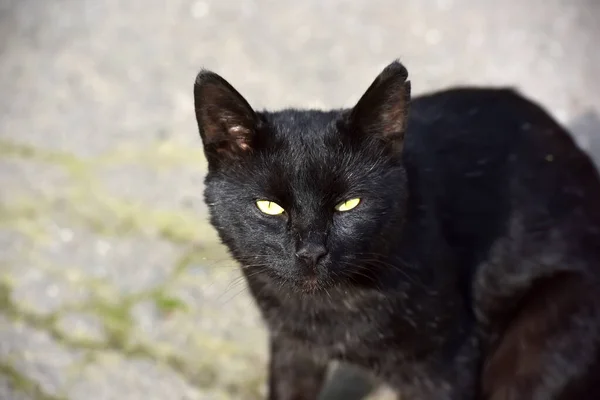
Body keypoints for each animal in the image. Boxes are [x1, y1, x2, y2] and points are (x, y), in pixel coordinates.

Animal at [192, 60, 600, 400]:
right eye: (270, 207)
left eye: (349, 204)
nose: (311, 251)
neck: (326, 312)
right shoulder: (293, 348)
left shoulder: (446, 365)